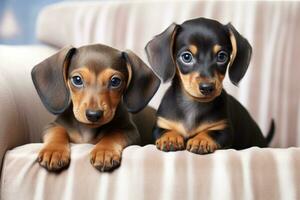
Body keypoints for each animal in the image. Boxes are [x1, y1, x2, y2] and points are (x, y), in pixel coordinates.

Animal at [31, 44, 161, 172]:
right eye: (77, 80)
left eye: (115, 81)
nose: (93, 115)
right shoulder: (51, 126)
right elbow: (57, 130)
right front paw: (54, 151)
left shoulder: (129, 131)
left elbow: (114, 134)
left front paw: (104, 151)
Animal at [145, 17, 274, 155]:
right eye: (186, 57)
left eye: (222, 56)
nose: (207, 87)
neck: (193, 106)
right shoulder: (161, 125)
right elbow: (165, 130)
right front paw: (170, 137)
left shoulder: (224, 130)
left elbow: (210, 132)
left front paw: (201, 140)